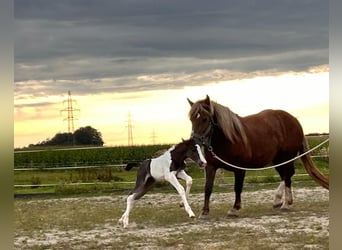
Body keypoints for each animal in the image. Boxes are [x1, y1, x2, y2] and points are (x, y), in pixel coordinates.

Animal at [187, 95, 328, 219]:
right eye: (191, 119)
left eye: (205, 118)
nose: (194, 141)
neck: (228, 139)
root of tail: (294, 120)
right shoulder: (211, 167)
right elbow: (208, 188)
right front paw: (204, 212)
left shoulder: (240, 169)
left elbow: (237, 188)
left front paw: (234, 209)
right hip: (277, 160)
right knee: (286, 175)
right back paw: (279, 201)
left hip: (286, 158)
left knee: (288, 175)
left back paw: (285, 203)